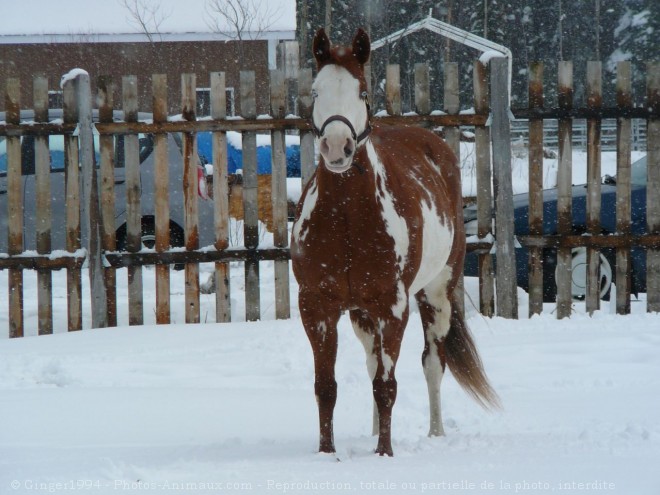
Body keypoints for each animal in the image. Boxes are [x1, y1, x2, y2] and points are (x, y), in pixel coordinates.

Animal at [290, 27, 500, 458]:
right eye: (316, 92)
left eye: (362, 92)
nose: (337, 147)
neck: (347, 217)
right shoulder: (317, 305)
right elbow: (326, 387)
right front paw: (326, 453)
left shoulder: (393, 305)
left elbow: (387, 386)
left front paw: (384, 454)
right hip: (361, 313)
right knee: (372, 360)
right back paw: (372, 431)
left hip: (437, 294)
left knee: (432, 363)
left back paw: (435, 433)